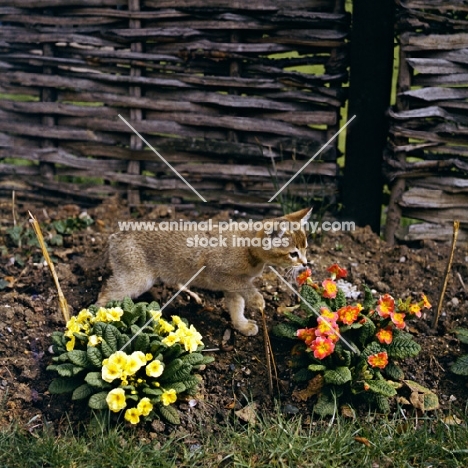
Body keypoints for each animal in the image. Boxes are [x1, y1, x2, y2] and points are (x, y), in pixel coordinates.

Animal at [97, 208, 310, 336]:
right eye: (293, 254)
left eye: (306, 248)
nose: (306, 263)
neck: (248, 248)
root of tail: (115, 236)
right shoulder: (221, 276)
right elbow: (247, 289)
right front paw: (258, 300)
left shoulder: (232, 288)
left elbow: (237, 307)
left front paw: (241, 325)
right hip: (136, 281)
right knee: (104, 294)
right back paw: (99, 320)